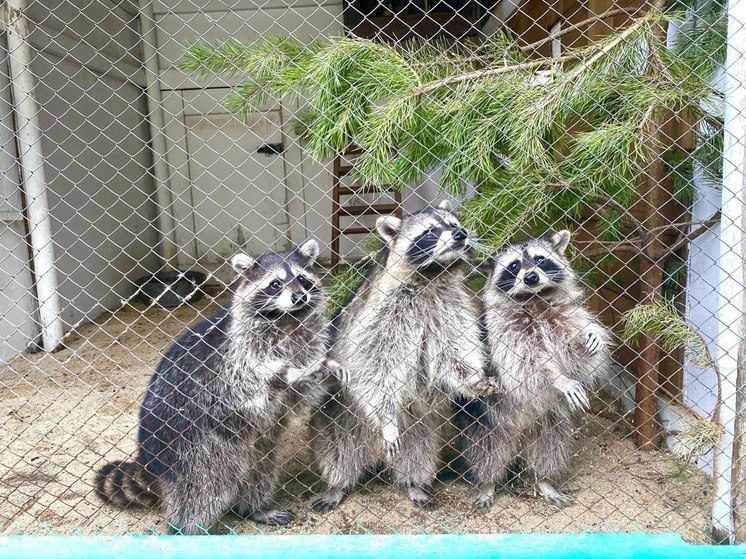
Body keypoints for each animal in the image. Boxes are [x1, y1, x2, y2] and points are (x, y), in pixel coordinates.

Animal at [95, 240, 346, 532]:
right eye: (275, 284)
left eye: (303, 279)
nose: (299, 297)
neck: (286, 318)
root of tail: (151, 460)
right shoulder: (238, 353)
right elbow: (260, 375)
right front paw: (296, 371)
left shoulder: (306, 340)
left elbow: (301, 395)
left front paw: (326, 370)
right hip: (190, 448)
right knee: (200, 492)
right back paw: (187, 529)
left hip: (252, 445)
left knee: (259, 470)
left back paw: (255, 508)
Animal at [308, 200, 494, 512]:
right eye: (430, 232)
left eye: (454, 223)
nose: (461, 234)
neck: (432, 275)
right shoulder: (382, 311)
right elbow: (372, 362)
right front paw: (386, 417)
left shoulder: (449, 305)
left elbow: (453, 350)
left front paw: (472, 379)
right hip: (338, 415)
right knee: (336, 451)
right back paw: (337, 485)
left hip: (418, 423)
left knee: (419, 452)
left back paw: (414, 484)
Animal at [460, 230, 612, 510]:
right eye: (514, 266)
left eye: (540, 259)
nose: (531, 277)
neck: (535, 298)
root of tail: (519, 437)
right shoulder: (504, 332)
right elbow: (527, 364)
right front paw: (561, 379)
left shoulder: (565, 317)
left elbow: (579, 355)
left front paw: (590, 338)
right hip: (485, 422)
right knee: (486, 454)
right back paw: (487, 484)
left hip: (549, 421)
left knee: (550, 449)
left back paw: (544, 481)